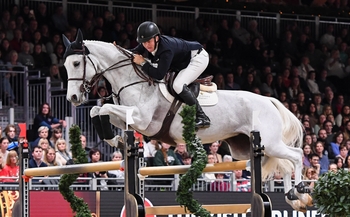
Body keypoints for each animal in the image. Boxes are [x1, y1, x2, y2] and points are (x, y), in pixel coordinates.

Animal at [64, 30, 314, 210]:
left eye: (76, 63)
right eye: (65, 65)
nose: (73, 98)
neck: (132, 80)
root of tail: (269, 100)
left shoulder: (142, 119)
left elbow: (103, 107)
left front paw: (115, 139)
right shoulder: (131, 119)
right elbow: (97, 111)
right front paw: (116, 141)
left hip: (268, 142)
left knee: (295, 155)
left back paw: (299, 190)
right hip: (246, 148)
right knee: (284, 163)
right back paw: (292, 196)